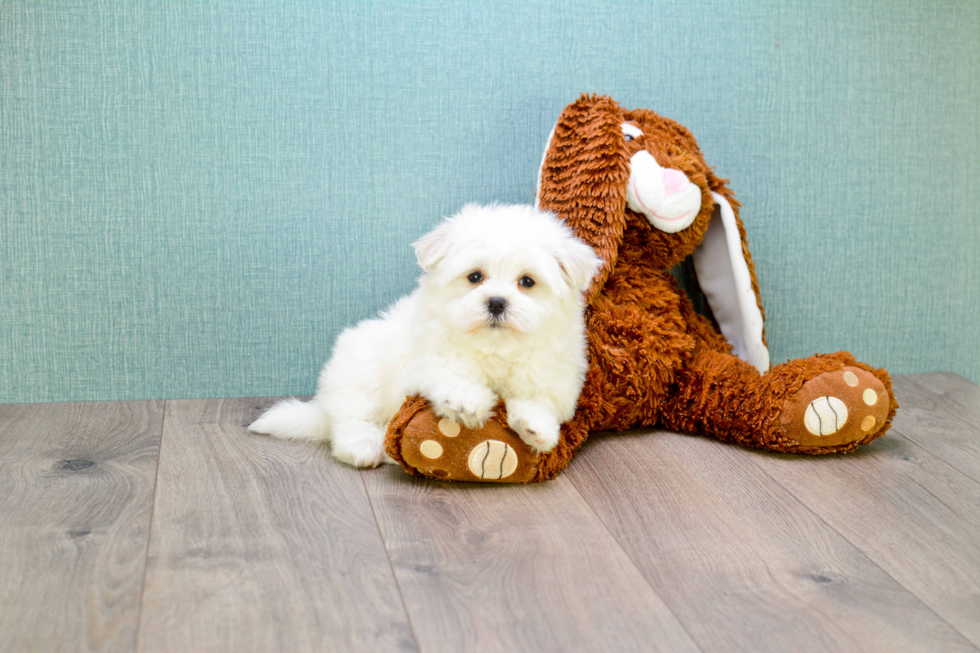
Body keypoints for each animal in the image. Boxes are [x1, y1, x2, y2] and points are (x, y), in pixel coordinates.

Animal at [249, 202, 600, 464]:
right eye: (475, 277)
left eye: (527, 282)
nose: (497, 302)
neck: (494, 348)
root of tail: (323, 403)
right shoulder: (427, 359)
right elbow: (451, 372)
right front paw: (466, 401)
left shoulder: (550, 374)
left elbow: (536, 399)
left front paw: (535, 427)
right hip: (361, 372)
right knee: (351, 418)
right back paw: (364, 447)